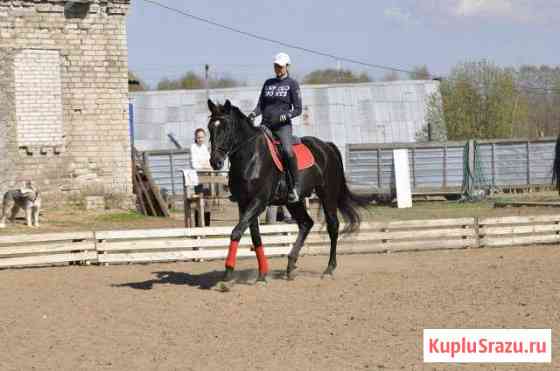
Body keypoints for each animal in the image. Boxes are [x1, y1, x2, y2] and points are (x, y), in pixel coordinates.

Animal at [208, 99, 374, 282]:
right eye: (210, 127)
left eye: (226, 128)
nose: (215, 162)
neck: (251, 156)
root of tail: (326, 146)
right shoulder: (244, 203)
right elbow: (255, 236)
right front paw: (262, 273)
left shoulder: (259, 201)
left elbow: (237, 232)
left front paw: (228, 273)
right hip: (293, 201)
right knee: (306, 223)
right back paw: (290, 265)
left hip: (327, 194)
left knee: (332, 226)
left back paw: (329, 269)